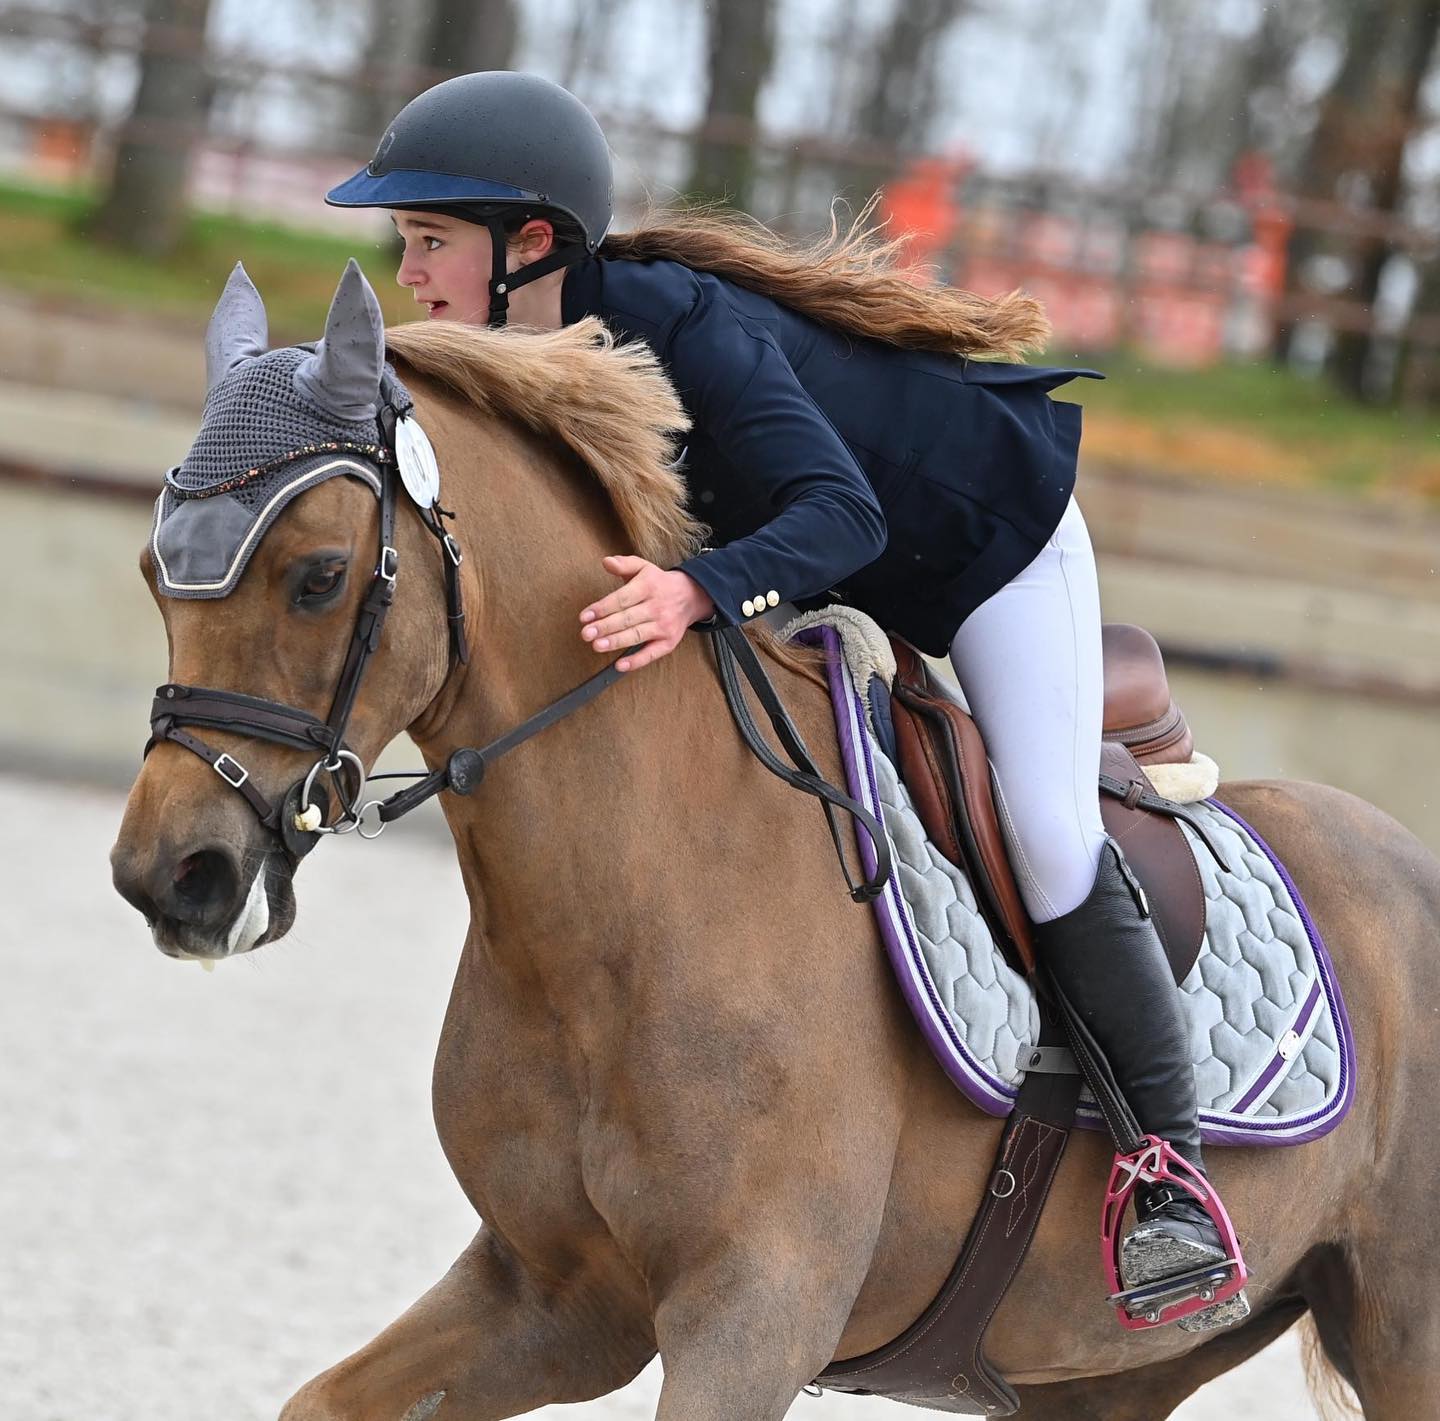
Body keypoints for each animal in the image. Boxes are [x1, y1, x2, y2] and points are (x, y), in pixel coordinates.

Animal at [109, 269, 1440, 1421]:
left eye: (320, 575)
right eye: (154, 576)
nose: (170, 878)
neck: (626, 906)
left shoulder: (752, 1315)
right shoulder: (554, 1297)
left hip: (1399, 1334)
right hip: (1117, 1369)